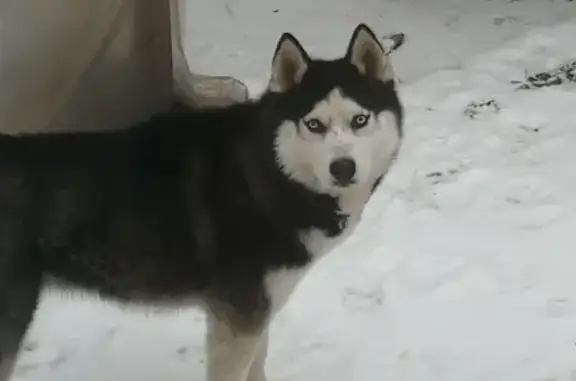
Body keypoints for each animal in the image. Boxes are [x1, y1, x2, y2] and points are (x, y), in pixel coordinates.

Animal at [0, 23, 404, 380]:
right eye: (314, 124)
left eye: (360, 120)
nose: (343, 168)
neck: (267, 172)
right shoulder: (239, 318)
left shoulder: (254, 311)